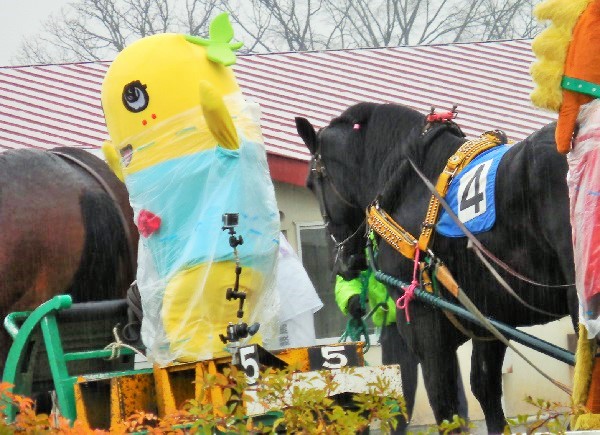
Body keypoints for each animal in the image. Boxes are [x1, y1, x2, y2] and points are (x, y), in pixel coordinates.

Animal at [296, 104, 576, 434]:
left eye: (311, 183)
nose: (343, 263)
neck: (412, 185)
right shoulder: (487, 322)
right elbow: (485, 390)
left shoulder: (425, 327)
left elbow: (446, 407)